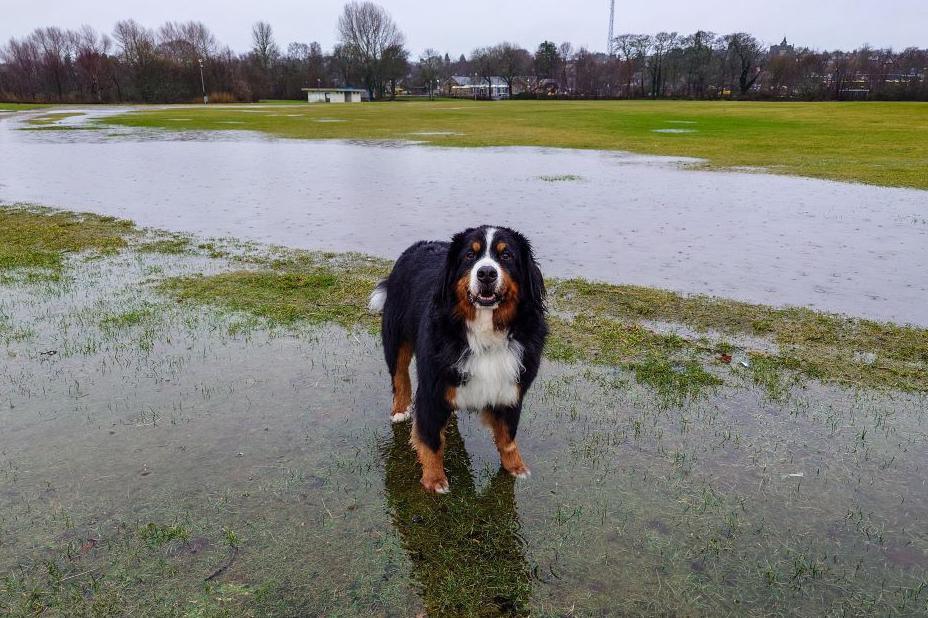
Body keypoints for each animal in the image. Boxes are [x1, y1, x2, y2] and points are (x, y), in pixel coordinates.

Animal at [368, 226, 548, 490]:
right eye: (469, 256)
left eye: (506, 256)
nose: (486, 273)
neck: (486, 333)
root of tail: (420, 245)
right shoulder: (432, 386)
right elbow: (431, 439)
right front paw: (434, 479)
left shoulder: (511, 389)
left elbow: (507, 436)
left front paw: (515, 466)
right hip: (395, 335)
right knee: (399, 374)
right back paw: (400, 409)